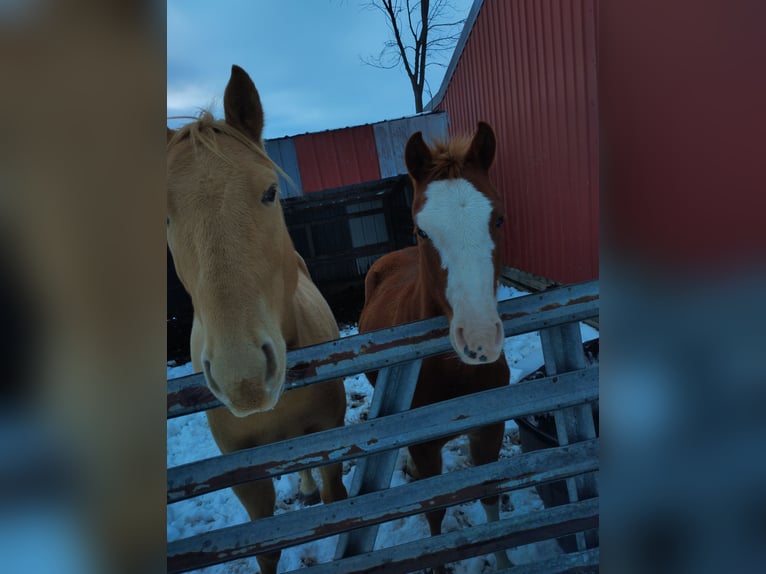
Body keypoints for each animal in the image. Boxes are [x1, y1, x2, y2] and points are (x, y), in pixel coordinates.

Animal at [166, 65, 348, 574]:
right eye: (165, 214)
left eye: (269, 191)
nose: (243, 376)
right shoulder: (243, 473)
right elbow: (264, 546)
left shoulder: (329, 435)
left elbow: (338, 501)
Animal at [359, 122, 512, 571]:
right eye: (422, 230)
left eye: (498, 218)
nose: (479, 341)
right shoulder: (426, 448)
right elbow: (434, 510)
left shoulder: (489, 429)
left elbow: (489, 494)